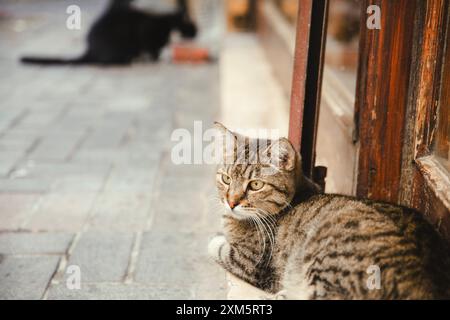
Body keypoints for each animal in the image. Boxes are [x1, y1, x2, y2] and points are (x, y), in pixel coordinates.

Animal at [20, 0, 197, 65]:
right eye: (192, 26)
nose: (197, 32)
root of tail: (89, 50)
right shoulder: (147, 32)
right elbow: (152, 49)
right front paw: (156, 58)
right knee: (108, 61)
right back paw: (129, 59)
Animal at [209, 123, 450, 300]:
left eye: (256, 185)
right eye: (226, 179)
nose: (230, 202)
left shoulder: (249, 262)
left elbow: (218, 248)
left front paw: (216, 239)